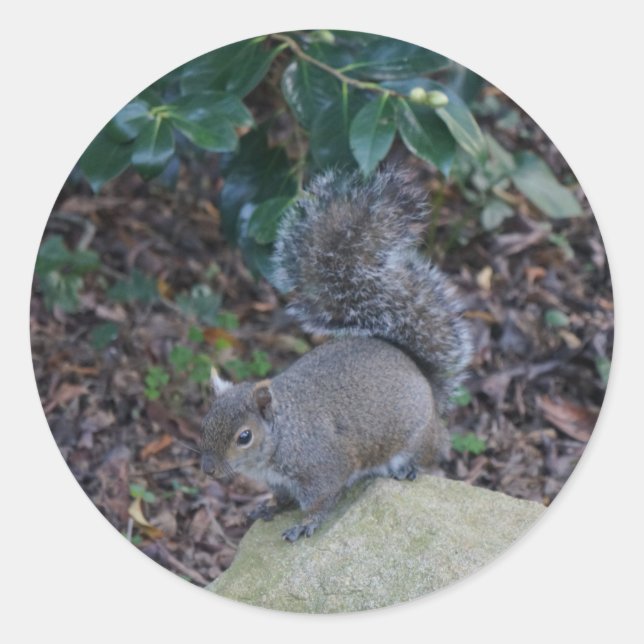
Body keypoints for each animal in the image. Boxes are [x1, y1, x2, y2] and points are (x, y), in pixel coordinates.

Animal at [200, 165, 472, 542]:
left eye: (244, 436)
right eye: (205, 421)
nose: (208, 469)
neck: (283, 434)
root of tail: (427, 383)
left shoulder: (323, 466)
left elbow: (323, 498)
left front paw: (305, 524)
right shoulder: (280, 481)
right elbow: (283, 497)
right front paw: (270, 507)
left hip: (416, 438)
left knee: (433, 453)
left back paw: (411, 468)